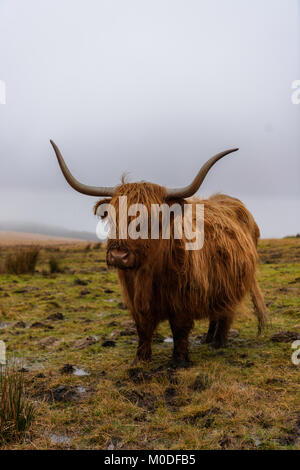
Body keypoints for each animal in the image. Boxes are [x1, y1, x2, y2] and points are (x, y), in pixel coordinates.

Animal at [49, 141, 268, 370]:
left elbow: (179, 330)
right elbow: (143, 329)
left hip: (234, 285)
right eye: (112, 215)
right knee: (215, 313)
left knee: (226, 313)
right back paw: (208, 339)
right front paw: (140, 360)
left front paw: (178, 361)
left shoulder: (183, 299)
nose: (118, 255)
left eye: (152, 218)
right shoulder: (134, 300)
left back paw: (218, 342)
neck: (147, 274)